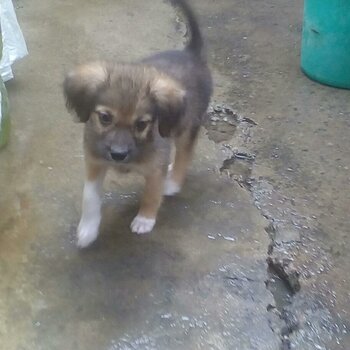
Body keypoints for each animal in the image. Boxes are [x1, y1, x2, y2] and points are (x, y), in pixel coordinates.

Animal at [63, 0, 212, 249]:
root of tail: (191, 53)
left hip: (186, 126)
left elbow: (152, 193)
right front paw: (88, 229)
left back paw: (173, 183)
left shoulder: (155, 168)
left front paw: (145, 219)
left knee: (185, 154)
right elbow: (89, 197)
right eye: (105, 118)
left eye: (142, 124)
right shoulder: (94, 161)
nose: (118, 155)